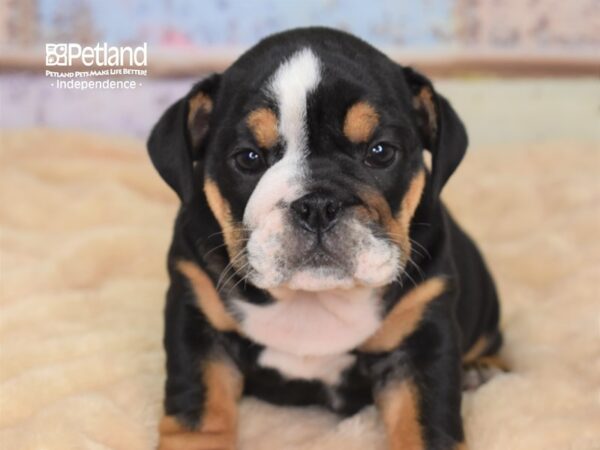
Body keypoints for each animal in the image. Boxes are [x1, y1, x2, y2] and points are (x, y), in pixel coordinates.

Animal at [148, 26, 504, 448]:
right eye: (248, 158)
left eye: (380, 152)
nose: (317, 204)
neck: (314, 299)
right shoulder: (197, 319)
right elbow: (198, 413)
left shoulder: (422, 339)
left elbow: (425, 426)